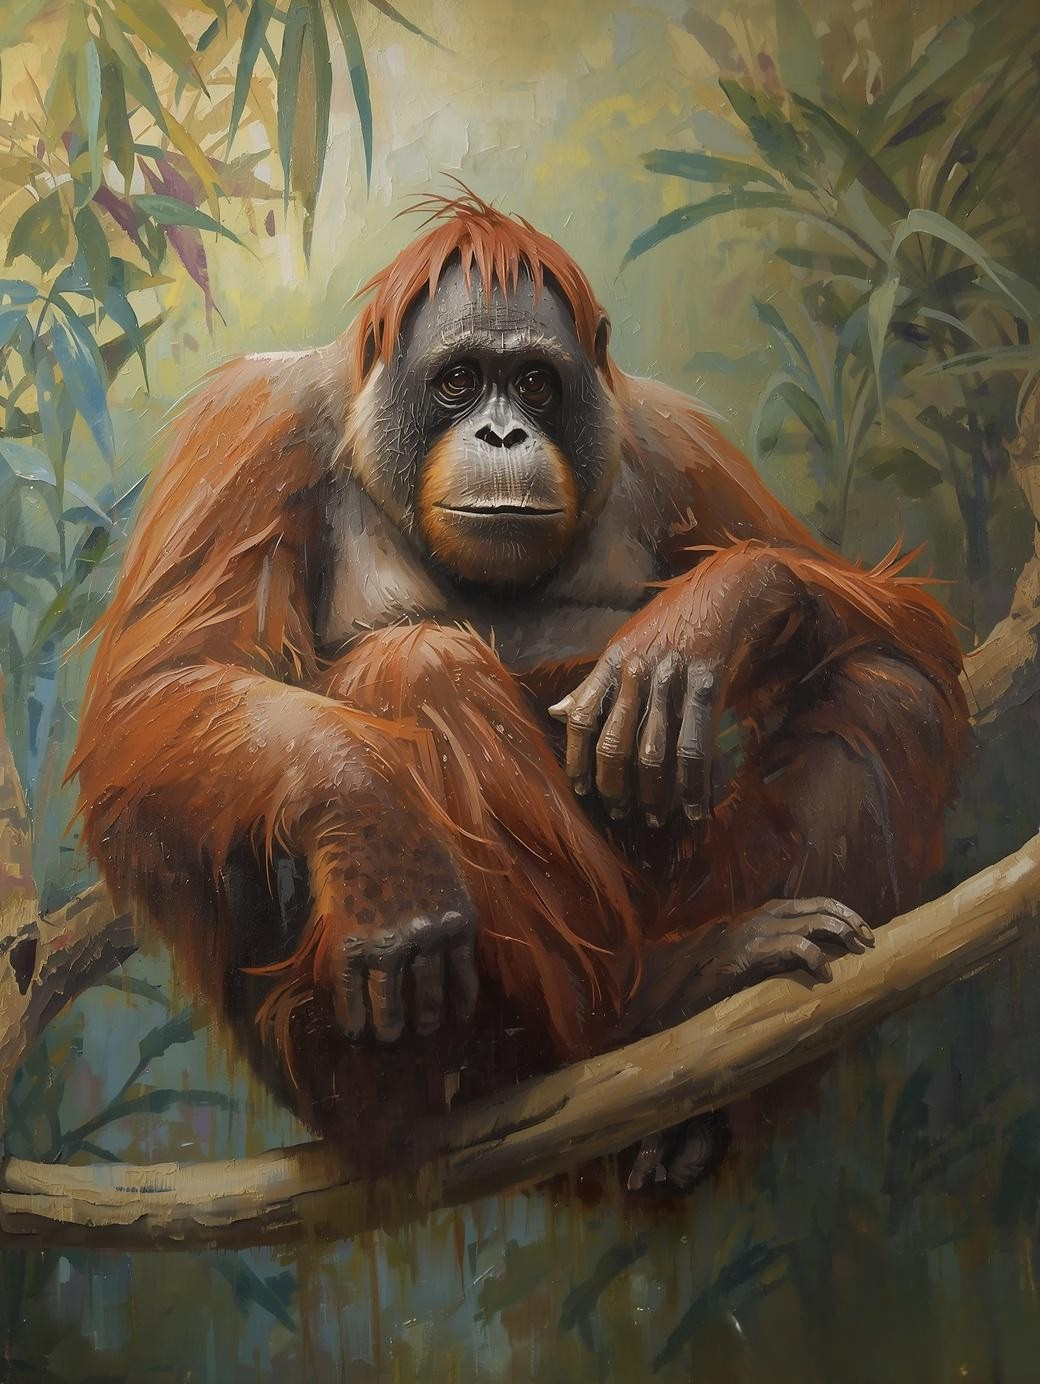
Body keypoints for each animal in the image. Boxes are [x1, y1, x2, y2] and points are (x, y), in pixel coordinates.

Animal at [70, 192, 968, 1181]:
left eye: (535, 383)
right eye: (460, 380)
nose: (503, 433)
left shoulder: (675, 439)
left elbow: (908, 629)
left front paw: (710, 614)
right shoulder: (247, 429)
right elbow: (154, 695)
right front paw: (375, 834)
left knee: (885, 686)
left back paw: (698, 1079)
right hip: (325, 1042)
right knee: (419, 665)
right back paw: (642, 1004)